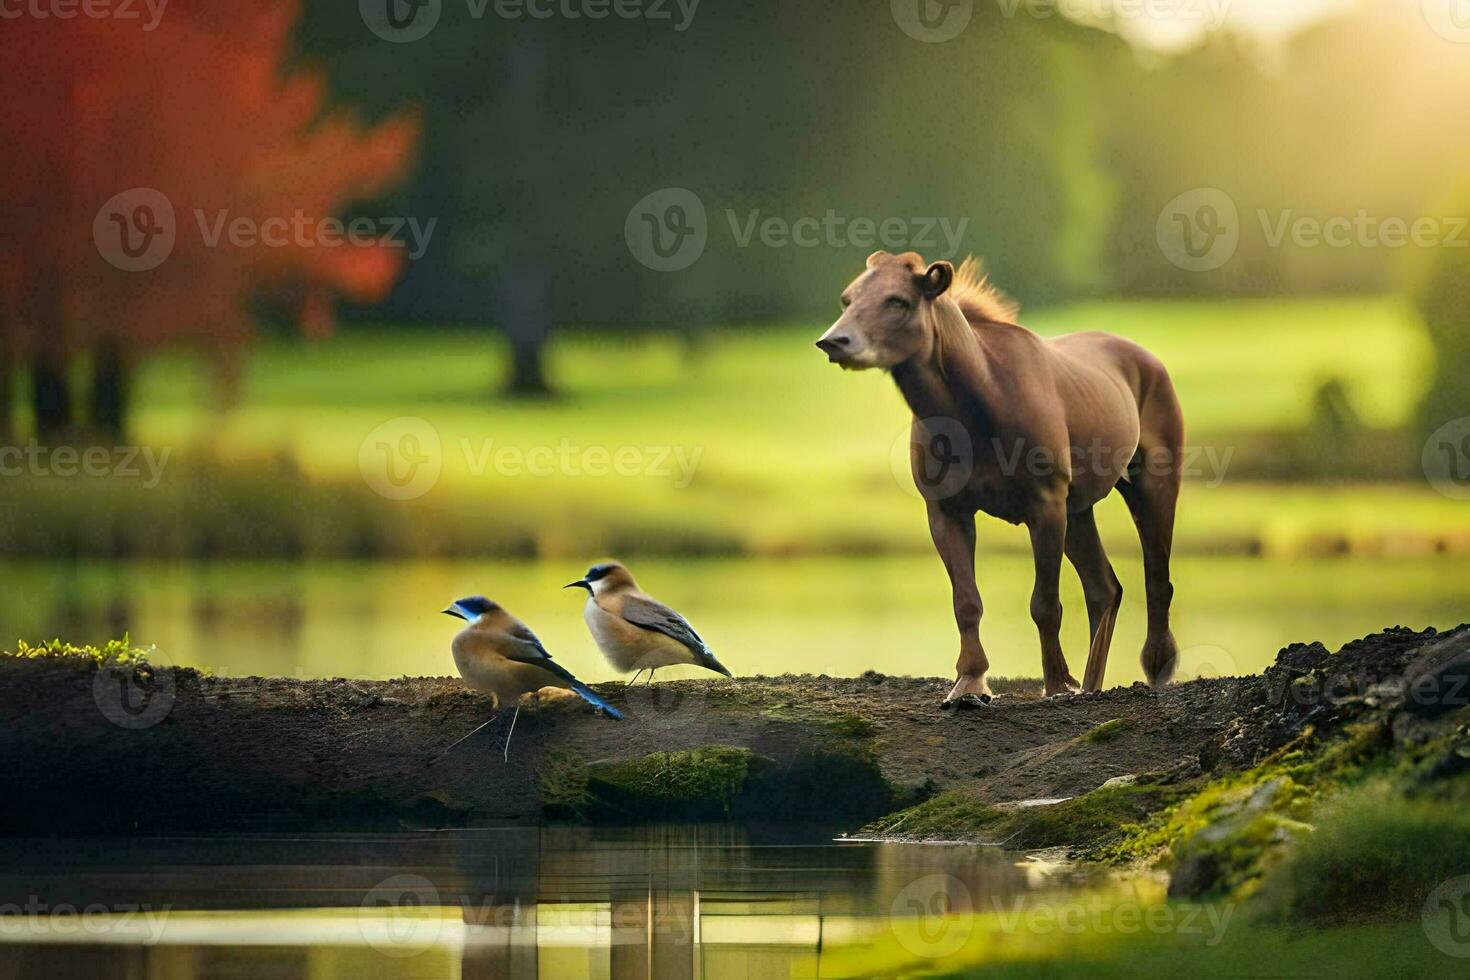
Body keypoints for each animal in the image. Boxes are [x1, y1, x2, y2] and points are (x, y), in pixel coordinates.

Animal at [817, 249, 1181, 702]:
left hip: (1152, 481)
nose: (834, 341)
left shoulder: (1045, 503)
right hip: (1079, 510)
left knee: (1156, 578)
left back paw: (1156, 666)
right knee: (1105, 588)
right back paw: (1091, 685)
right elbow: (966, 602)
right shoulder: (947, 509)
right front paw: (969, 685)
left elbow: (1045, 604)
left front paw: (1057, 683)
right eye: (847, 300)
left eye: (898, 301)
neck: (976, 404)